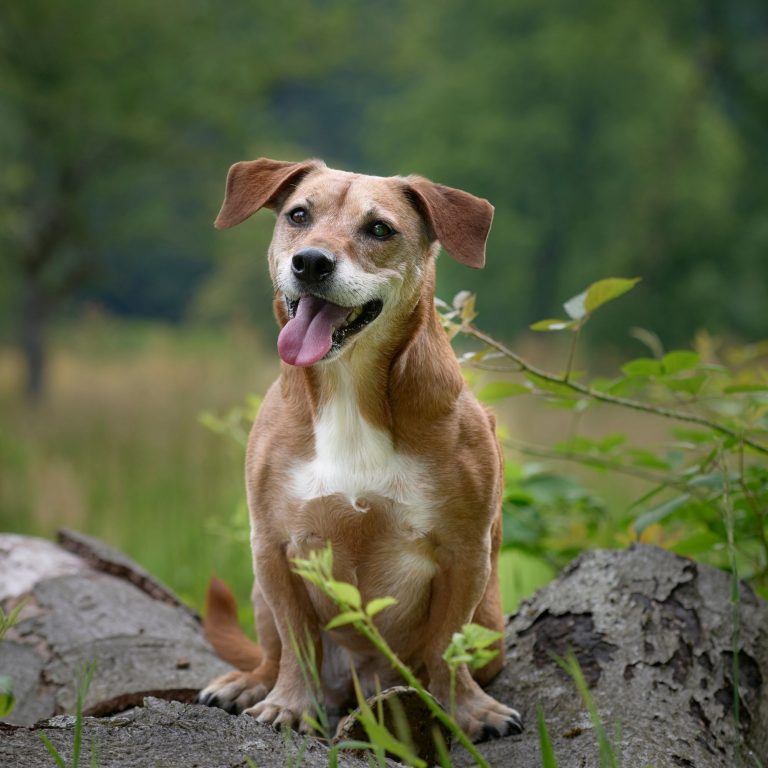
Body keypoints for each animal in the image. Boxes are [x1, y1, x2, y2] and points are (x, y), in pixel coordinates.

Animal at [196, 158, 520, 744]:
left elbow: (447, 645)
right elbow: (297, 642)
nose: (310, 262)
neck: (350, 386)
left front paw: (467, 710)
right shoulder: (274, 548)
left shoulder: (465, 554)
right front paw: (288, 704)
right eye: (299, 215)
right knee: (272, 652)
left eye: (379, 229)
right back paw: (249, 683)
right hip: (258, 596)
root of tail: (362, 682)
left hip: (489, 622)